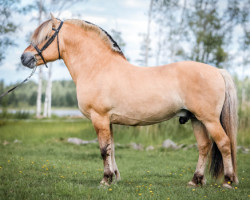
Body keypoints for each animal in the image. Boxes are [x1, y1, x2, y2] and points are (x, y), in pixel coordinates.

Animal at [21, 14, 238, 189]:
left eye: (46, 37)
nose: (24, 58)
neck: (97, 67)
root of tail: (218, 71)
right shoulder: (108, 121)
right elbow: (112, 149)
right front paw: (114, 178)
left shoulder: (99, 118)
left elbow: (103, 150)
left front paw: (105, 180)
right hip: (196, 119)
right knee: (204, 147)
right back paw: (195, 180)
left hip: (209, 119)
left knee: (224, 143)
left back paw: (228, 181)